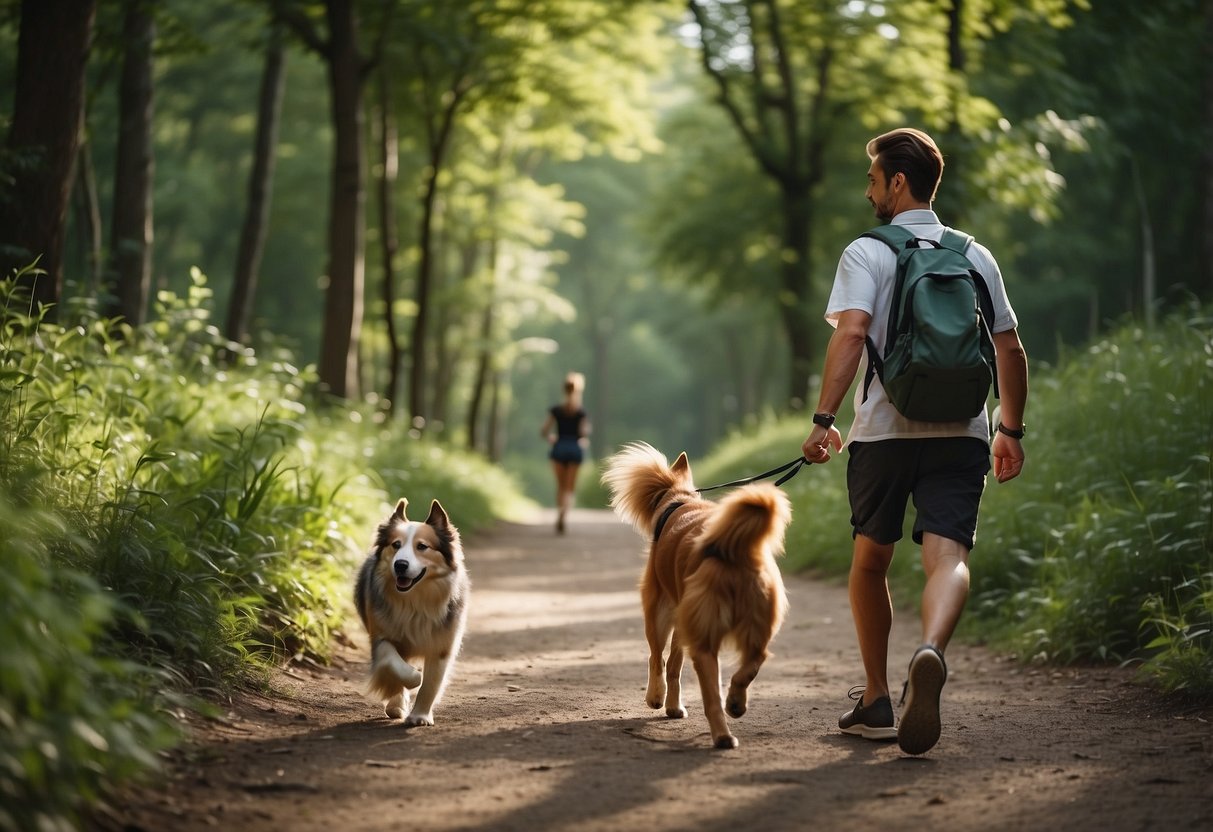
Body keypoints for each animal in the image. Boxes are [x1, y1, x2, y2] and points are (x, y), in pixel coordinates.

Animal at [354, 499, 468, 727]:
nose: (400, 565)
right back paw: (397, 703)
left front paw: (420, 716)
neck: (415, 601)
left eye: (422, 546)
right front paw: (409, 682)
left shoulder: (442, 645)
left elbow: (431, 684)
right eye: (395, 545)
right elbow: (393, 664)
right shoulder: (381, 636)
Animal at [601, 443, 790, 751]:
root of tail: (732, 550)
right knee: (748, 666)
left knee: (693, 682)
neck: (679, 500)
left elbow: (660, 660)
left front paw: (658, 700)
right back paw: (733, 708)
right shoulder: (684, 618)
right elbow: (674, 664)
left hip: (683, 624)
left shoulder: (661, 606)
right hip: (752, 627)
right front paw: (673, 706)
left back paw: (718, 732)